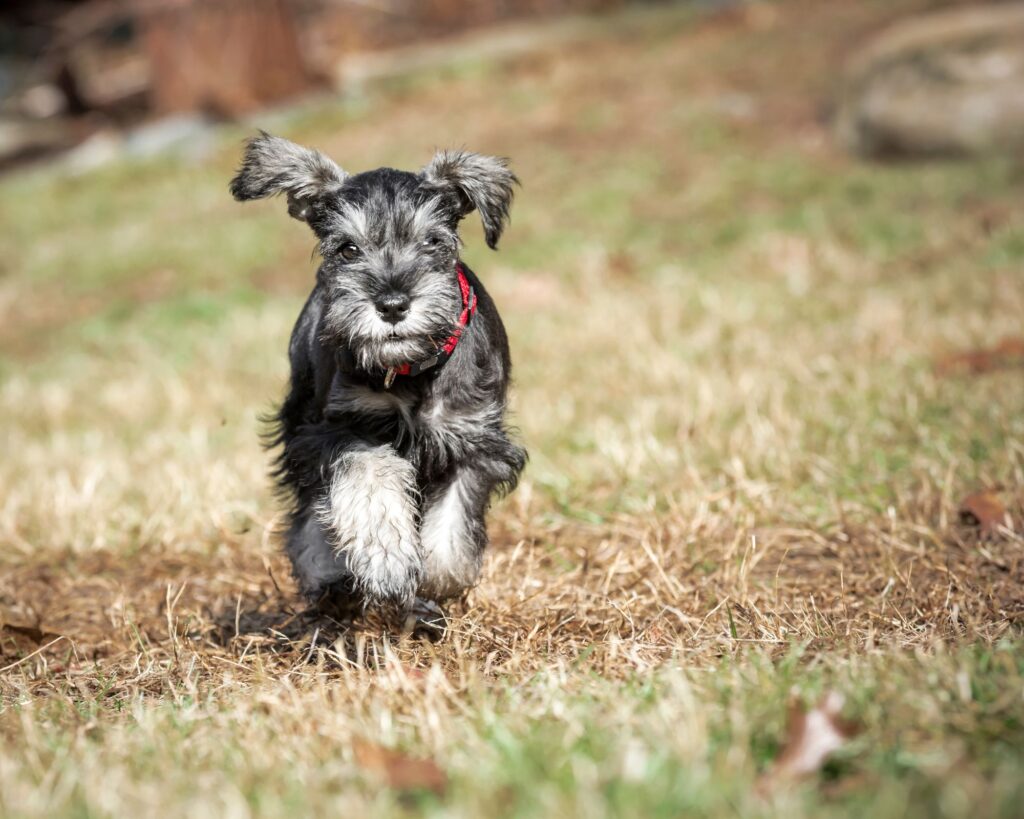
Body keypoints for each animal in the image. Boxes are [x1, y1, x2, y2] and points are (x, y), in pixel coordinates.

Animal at [227, 134, 524, 634]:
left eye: (433, 241)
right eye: (348, 249)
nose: (392, 304)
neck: (411, 369)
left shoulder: (473, 439)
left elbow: (452, 522)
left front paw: (434, 581)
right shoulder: (340, 428)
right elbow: (370, 477)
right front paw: (386, 559)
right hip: (300, 417)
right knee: (310, 511)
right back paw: (326, 572)